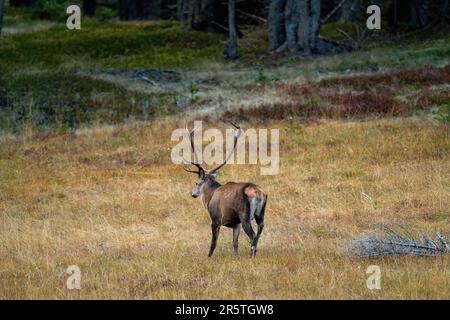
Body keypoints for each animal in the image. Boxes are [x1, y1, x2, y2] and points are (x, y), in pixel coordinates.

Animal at [183, 122, 268, 258]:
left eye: (196, 182)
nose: (193, 194)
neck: (210, 196)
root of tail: (258, 193)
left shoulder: (215, 219)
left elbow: (213, 243)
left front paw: (208, 257)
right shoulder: (236, 224)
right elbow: (235, 244)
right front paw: (235, 258)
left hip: (244, 215)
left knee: (253, 236)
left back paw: (251, 257)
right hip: (260, 214)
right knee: (259, 232)